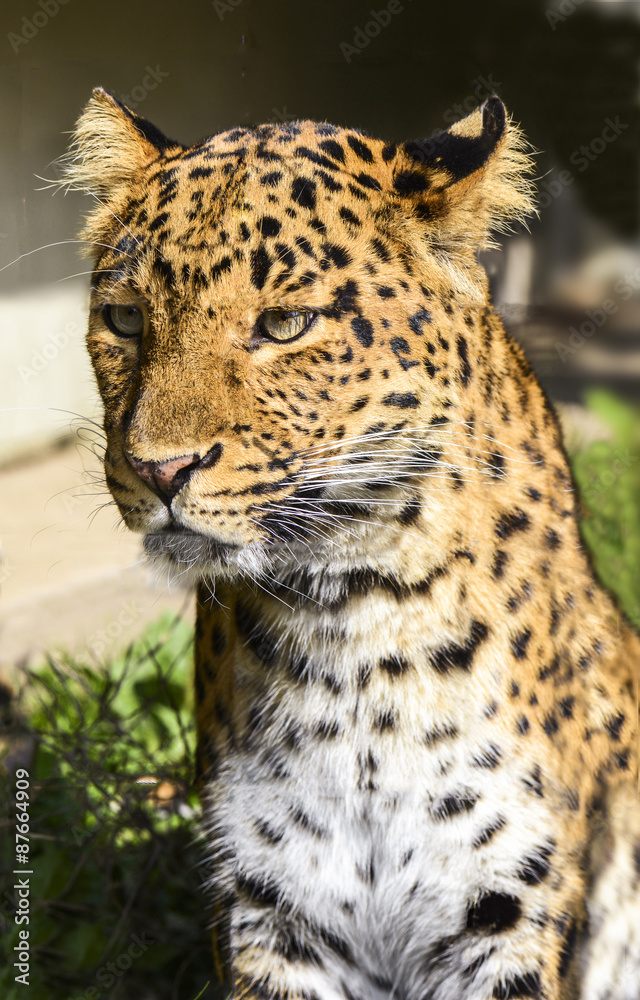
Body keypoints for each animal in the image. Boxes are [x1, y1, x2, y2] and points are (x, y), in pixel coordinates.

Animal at [62, 88, 640, 1000]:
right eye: (124, 320)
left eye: (285, 325)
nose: (159, 470)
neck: (352, 614)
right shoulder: (274, 912)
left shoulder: (504, 910)